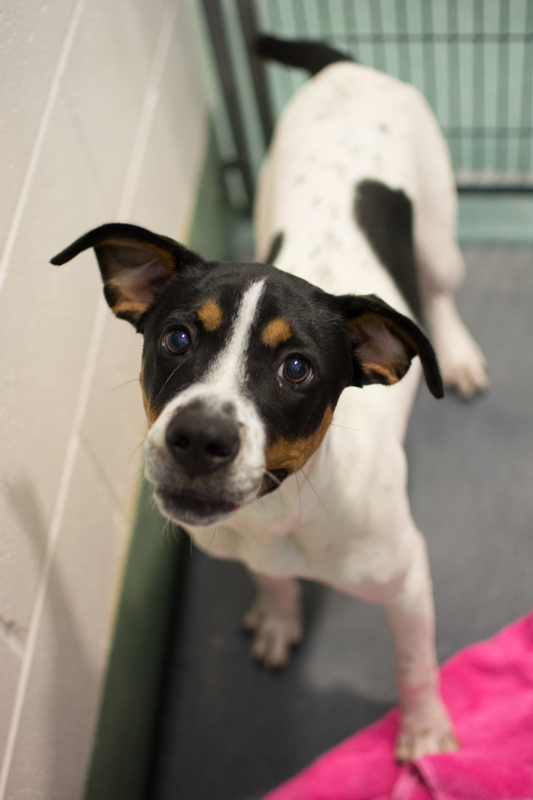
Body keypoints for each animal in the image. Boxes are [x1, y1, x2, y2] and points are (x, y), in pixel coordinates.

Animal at [51, 37, 487, 760]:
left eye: (296, 369)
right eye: (176, 338)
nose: (199, 437)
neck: (285, 510)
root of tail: (343, 66)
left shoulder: (407, 581)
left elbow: (414, 663)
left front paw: (424, 734)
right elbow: (271, 581)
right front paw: (279, 614)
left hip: (437, 237)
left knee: (440, 287)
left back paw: (454, 350)